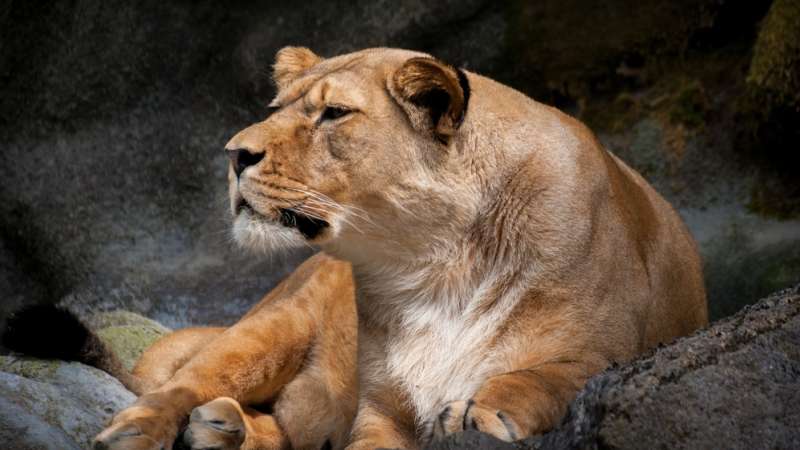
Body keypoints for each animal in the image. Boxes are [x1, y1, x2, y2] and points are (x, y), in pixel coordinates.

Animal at [4, 47, 707, 450]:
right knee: (181, 383)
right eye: (277, 108)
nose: (234, 154)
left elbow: (558, 371)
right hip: (272, 325)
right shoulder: (380, 409)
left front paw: (482, 408)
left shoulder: (617, 344)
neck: (433, 264)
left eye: (333, 114)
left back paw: (223, 428)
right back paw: (150, 429)